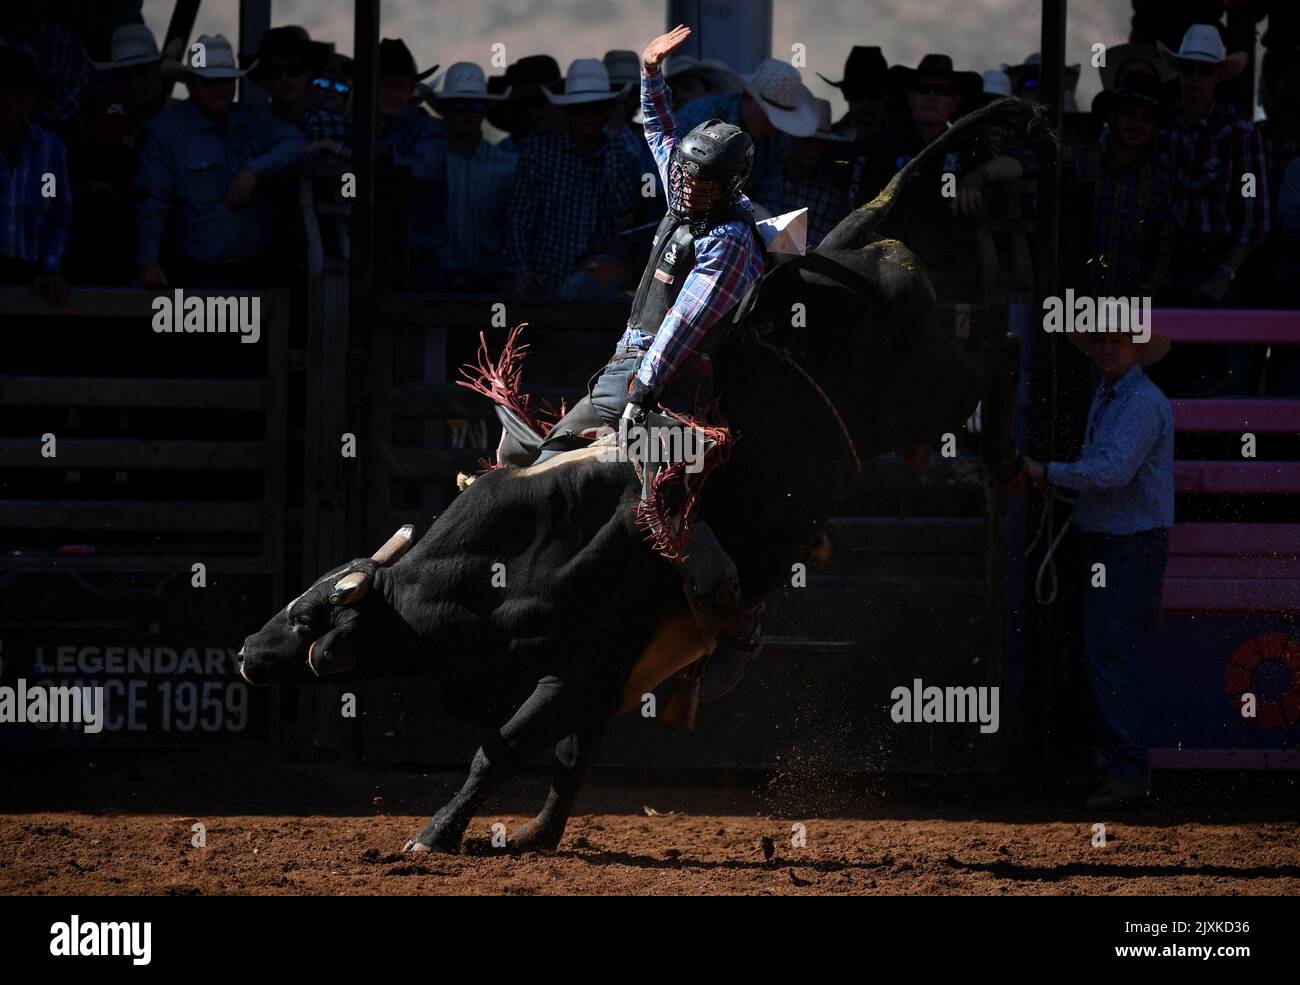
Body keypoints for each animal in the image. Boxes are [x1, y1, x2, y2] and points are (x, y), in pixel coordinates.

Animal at [238, 97, 1042, 854]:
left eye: (308, 619)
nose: (247, 652)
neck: (508, 567)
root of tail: (848, 240)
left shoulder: (582, 669)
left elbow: (500, 750)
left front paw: (434, 834)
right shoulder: (602, 681)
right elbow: (570, 760)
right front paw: (536, 836)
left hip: (921, 390)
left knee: (999, 354)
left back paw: (1013, 458)